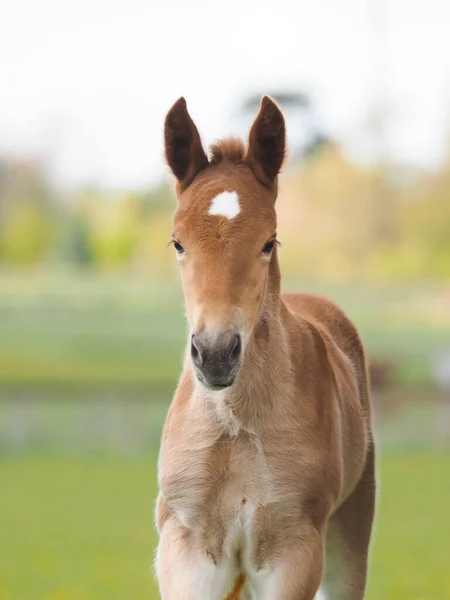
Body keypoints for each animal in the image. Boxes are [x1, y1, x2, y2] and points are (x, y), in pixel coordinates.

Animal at [156, 96, 374, 596]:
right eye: (177, 243)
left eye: (268, 242)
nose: (216, 353)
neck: (236, 426)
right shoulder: (186, 545)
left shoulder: (292, 551)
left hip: (350, 537)